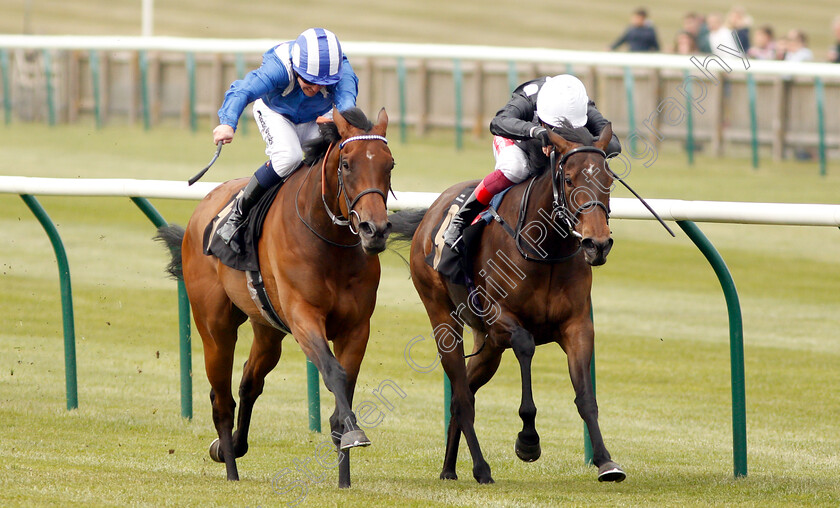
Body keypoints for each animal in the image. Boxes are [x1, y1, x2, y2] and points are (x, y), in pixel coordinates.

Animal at [157, 107, 394, 488]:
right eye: (346, 164)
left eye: (389, 164)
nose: (375, 230)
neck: (330, 243)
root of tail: (206, 205)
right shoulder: (303, 317)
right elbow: (334, 371)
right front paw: (354, 434)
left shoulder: (356, 327)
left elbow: (345, 382)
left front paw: (344, 474)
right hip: (215, 326)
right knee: (222, 399)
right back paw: (231, 469)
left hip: (267, 329)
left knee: (249, 382)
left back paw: (232, 447)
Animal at [388, 122, 624, 484]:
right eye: (569, 179)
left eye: (608, 180)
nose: (596, 244)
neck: (547, 251)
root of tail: (431, 212)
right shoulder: (502, 319)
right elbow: (526, 346)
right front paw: (528, 440)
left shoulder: (577, 326)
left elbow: (586, 396)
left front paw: (605, 461)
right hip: (444, 317)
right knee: (461, 395)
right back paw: (481, 468)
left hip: (488, 347)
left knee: (464, 393)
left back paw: (449, 468)